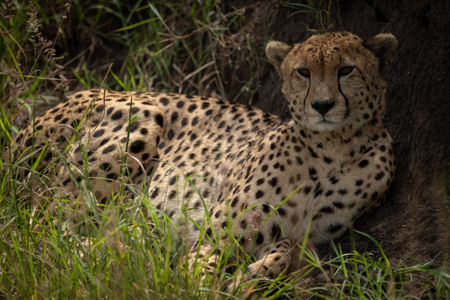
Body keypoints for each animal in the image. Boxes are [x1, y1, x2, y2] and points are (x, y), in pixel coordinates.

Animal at [11, 31, 398, 288]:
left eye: (346, 70)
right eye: (303, 72)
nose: (322, 105)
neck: (332, 147)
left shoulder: (300, 237)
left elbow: (279, 253)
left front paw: (256, 272)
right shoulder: (218, 231)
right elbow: (196, 273)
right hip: (142, 116)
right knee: (42, 232)